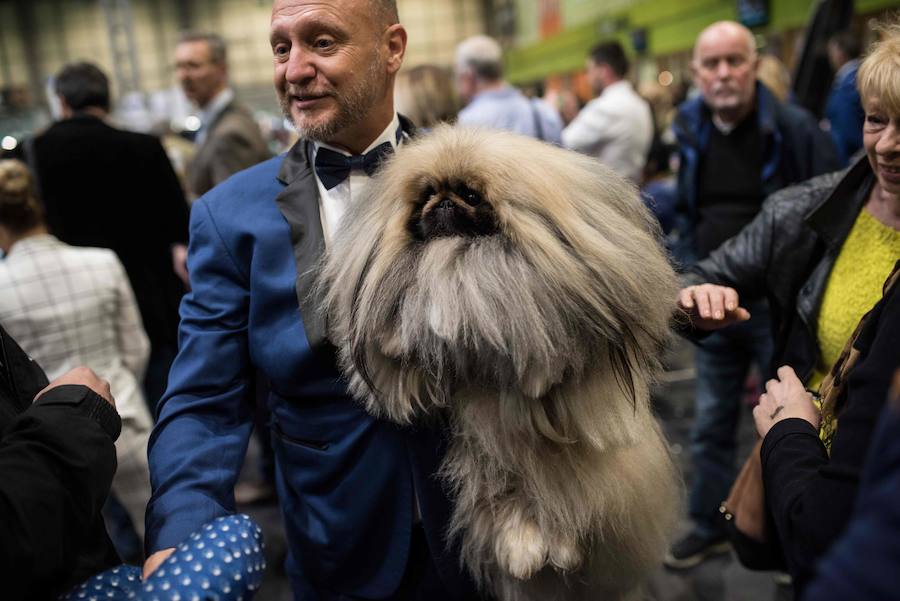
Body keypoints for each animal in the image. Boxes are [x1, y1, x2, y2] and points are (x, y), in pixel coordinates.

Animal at [322, 126, 684, 600]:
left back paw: (558, 548)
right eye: (426, 196)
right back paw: (523, 551)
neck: (459, 261)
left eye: (470, 195)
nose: (442, 203)